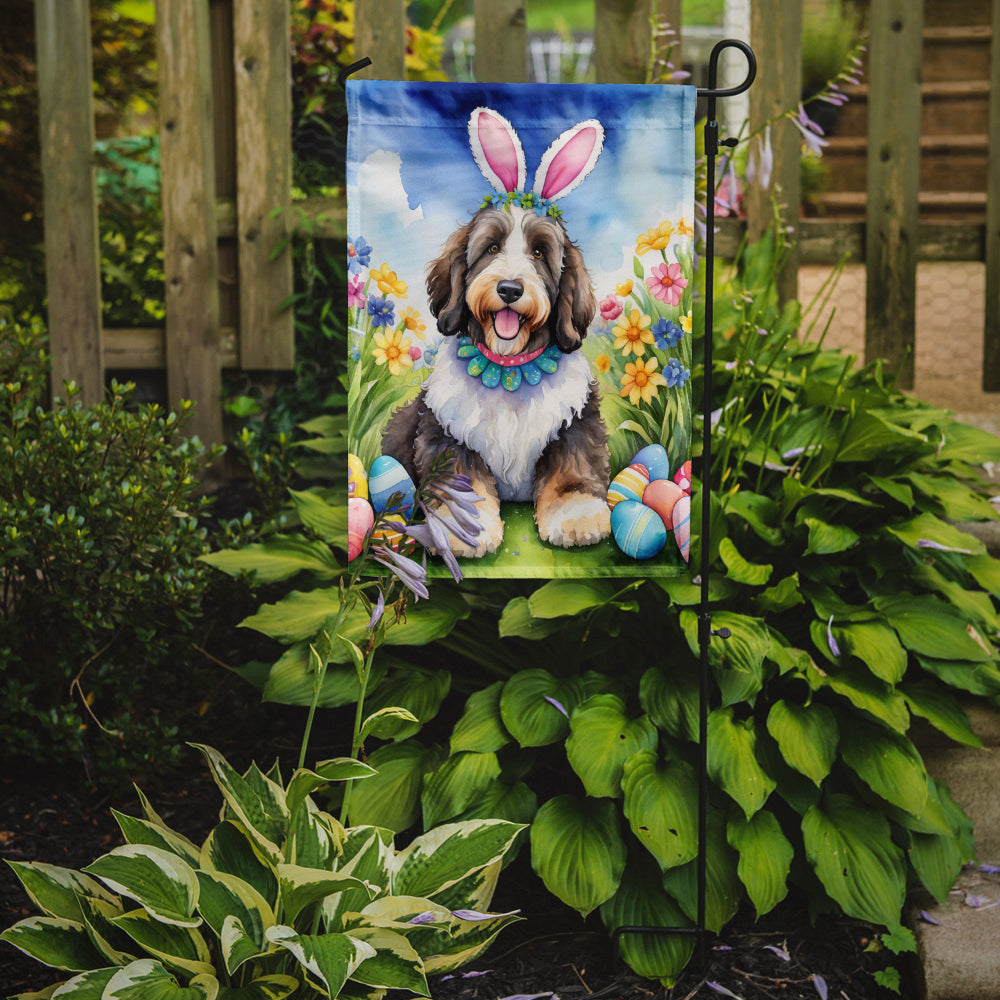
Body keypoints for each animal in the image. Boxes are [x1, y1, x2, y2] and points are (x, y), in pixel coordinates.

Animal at [378, 111, 608, 564]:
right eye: (491, 248)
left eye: (539, 253)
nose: (510, 289)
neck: (509, 366)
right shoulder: (446, 432)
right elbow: (459, 482)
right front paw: (464, 530)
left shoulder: (574, 424)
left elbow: (573, 468)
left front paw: (577, 515)